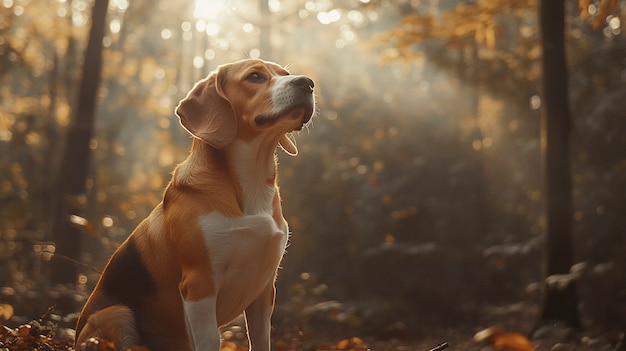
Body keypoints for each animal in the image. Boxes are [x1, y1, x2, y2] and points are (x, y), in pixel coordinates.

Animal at [75, 59, 314, 350]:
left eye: (286, 74)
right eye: (255, 77)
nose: (308, 83)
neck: (251, 182)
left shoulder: (264, 288)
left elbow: (260, 341)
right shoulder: (200, 284)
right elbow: (211, 339)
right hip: (116, 314)